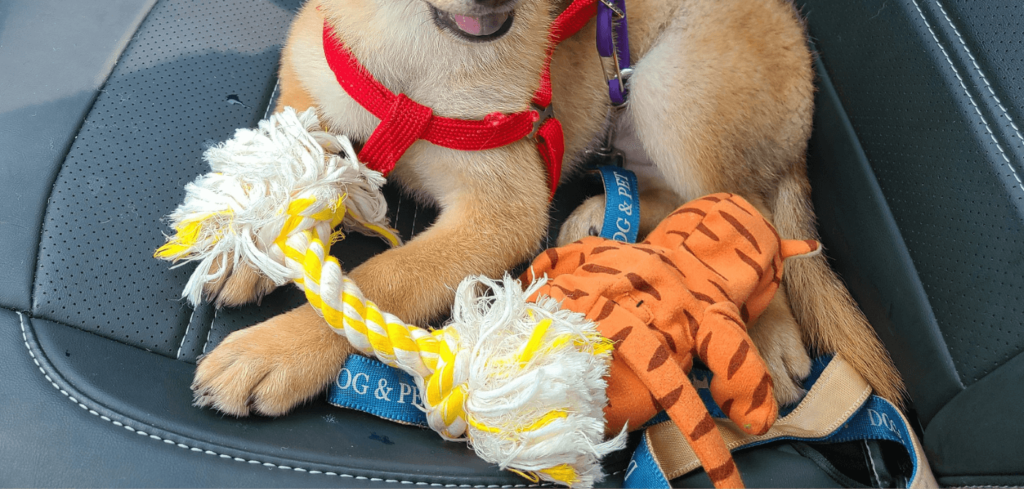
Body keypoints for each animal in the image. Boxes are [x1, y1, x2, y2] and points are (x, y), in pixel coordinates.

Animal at [188, 0, 901, 417]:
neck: (413, 48)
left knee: (754, 216)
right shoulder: (306, 87)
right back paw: (598, 213)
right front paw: (244, 239)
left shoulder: (502, 208)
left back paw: (771, 335)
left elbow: (380, 281)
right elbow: (286, 160)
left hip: (678, 90)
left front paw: (276, 351)